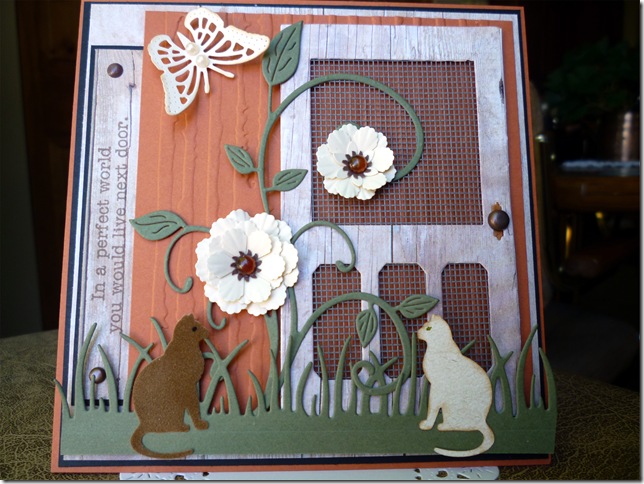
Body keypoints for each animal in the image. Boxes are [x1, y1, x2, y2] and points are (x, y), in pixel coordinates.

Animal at [131, 314, 210, 459]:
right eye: (194, 328)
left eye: (198, 323)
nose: (207, 332)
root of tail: (143, 423)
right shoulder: (188, 385)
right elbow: (194, 407)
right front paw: (200, 424)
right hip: (174, 407)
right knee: (168, 428)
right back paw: (184, 427)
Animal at [417, 314, 495, 458]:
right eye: (424, 325)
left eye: (428, 328)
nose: (418, 332)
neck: (439, 349)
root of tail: (483, 421)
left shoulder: (437, 388)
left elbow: (432, 408)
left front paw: (427, 425)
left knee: (459, 426)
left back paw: (441, 426)